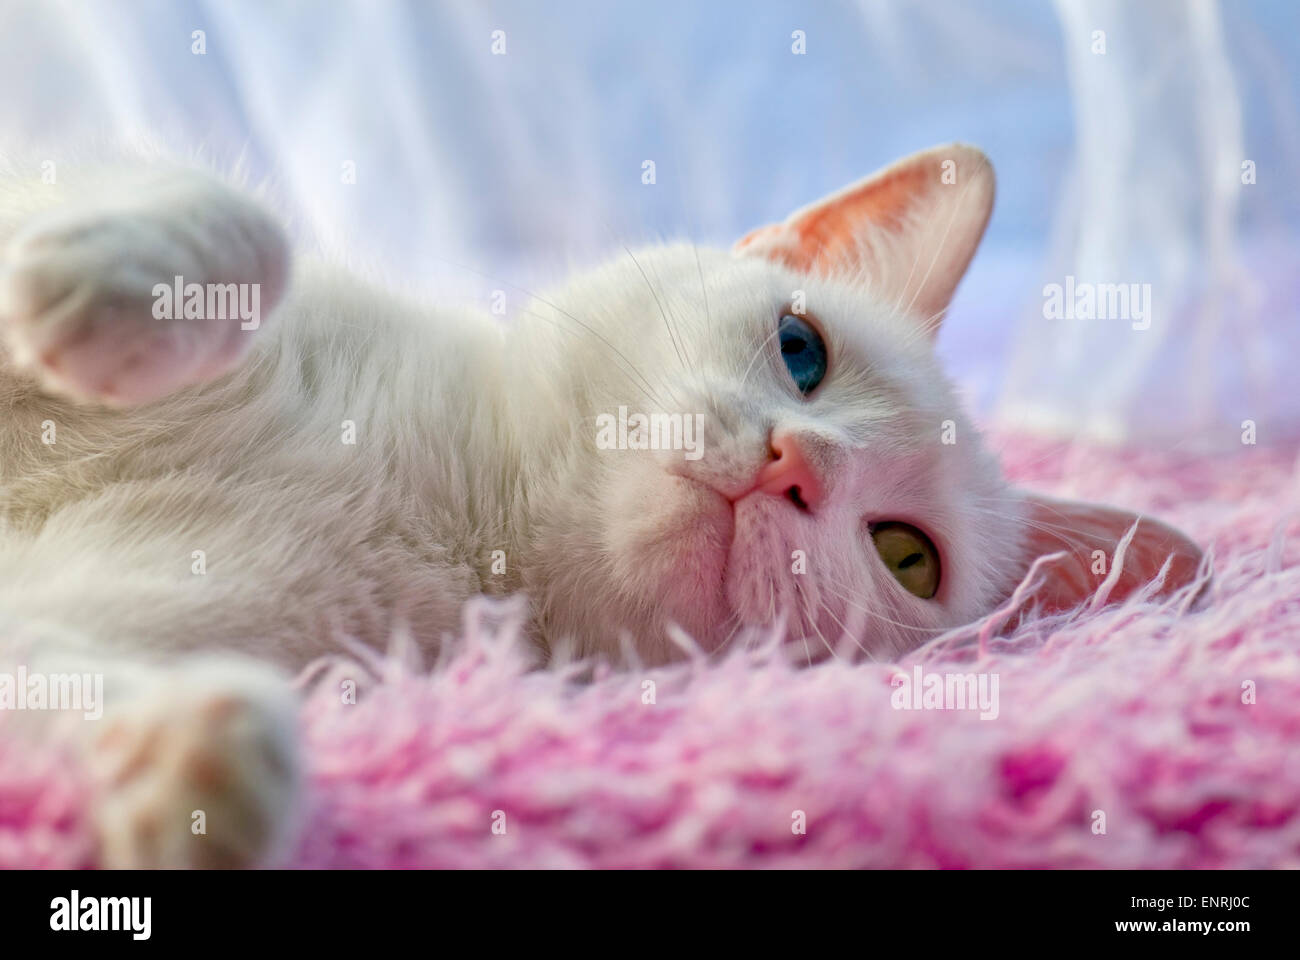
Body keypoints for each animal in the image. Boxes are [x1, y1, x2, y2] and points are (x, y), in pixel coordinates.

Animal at [0, 143, 1201, 868]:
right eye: (800, 349)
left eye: (907, 557)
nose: (795, 463)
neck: (453, 497)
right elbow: (242, 220)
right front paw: (93, 288)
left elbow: (54, 669)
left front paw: (187, 767)